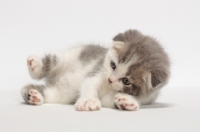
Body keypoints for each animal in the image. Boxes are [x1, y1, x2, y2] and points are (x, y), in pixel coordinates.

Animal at [21, 29, 170, 110]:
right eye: (113, 65)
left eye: (126, 81)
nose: (110, 79)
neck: (108, 86)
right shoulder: (97, 70)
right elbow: (90, 84)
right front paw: (88, 101)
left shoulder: (146, 97)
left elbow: (109, 100)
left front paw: (127, 102)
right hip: (70, 55)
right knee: (53, 61)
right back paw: (35, 65)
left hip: (60, 94)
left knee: (47, 92)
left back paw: (34, 96)